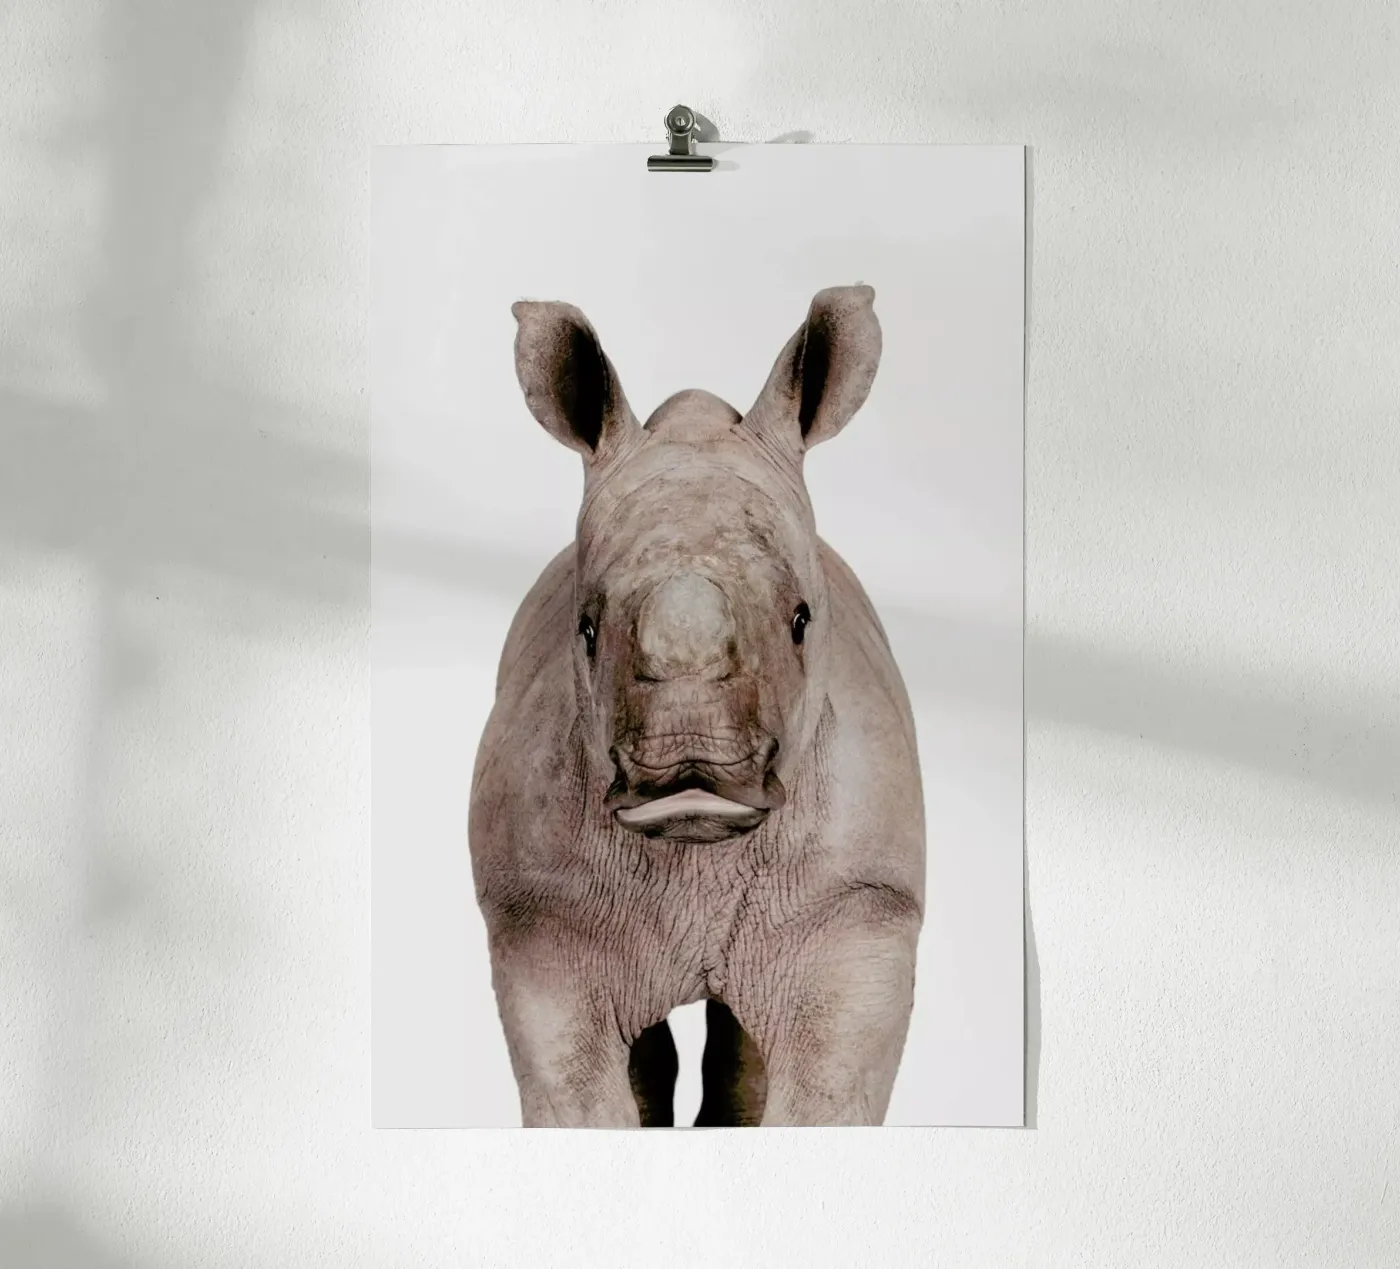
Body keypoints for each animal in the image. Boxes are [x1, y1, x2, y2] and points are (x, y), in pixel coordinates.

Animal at [469, 284, 925, 1127]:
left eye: (802, 619)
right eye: (585, 629)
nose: (691, 770)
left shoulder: (858, 908)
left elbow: (825, 1091)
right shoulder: (540, 915)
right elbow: (577, 1094)